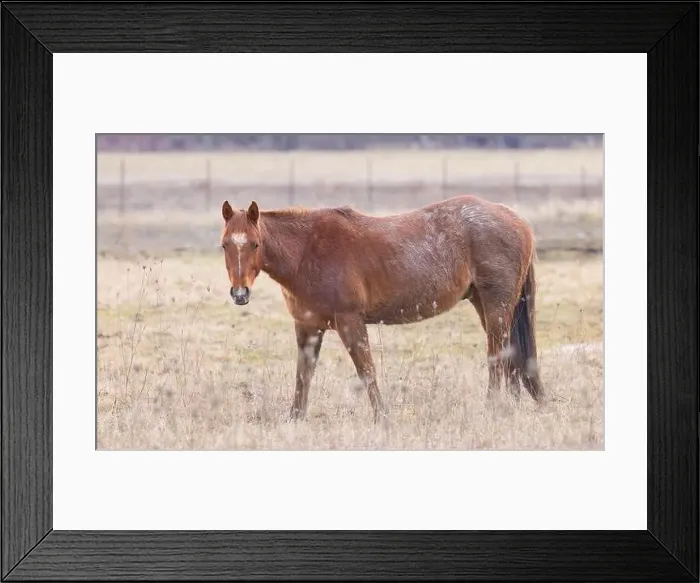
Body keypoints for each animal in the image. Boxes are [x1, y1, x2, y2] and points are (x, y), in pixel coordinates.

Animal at [219, 195, 544, 423]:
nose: (240, 293)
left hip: (496, 305)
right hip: (487, 305)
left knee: (498, 357)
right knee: (510, 356)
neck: (307, 251)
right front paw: (295, 419)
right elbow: (303, 375)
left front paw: (382, 418)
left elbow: (366, 371)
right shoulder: (307, 327)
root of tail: (519, 221)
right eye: (225, 245)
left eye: (255, 244)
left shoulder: (349, 322)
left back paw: (493, 408)